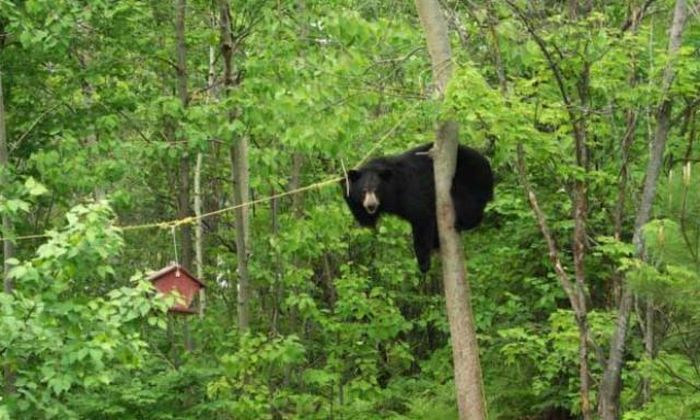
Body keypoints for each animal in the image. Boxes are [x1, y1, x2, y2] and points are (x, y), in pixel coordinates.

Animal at [340, 143, 492, 270]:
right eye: (364, 190)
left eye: (376, 190)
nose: (371, 205)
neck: (393, 188)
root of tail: (488, 166)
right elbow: (365, 219)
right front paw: (344, 182)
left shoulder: (409, 191)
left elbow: (421, 217)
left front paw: (423, 263)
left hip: (469, 178)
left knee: (465, 201)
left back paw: (461, 223)